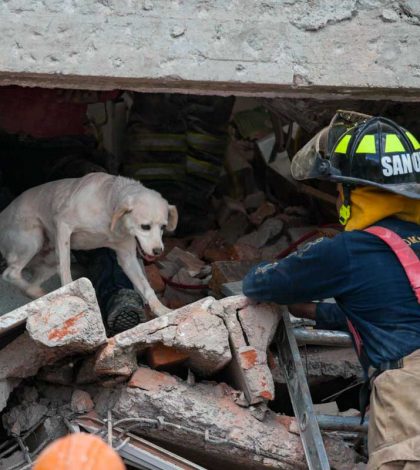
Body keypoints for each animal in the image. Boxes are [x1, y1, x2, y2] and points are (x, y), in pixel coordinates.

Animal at [0, 172, 177, 316]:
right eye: (145, 226)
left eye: (163, 227)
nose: (158, 251)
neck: (108, 205)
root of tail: (3, 213)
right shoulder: (63, 225)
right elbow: (66, 271)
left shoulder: (127, 258)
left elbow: (147, 288)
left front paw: (162, 310)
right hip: (33, 240)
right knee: (10, 273)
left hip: (49, 259)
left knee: (29, 285)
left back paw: (37, 293)